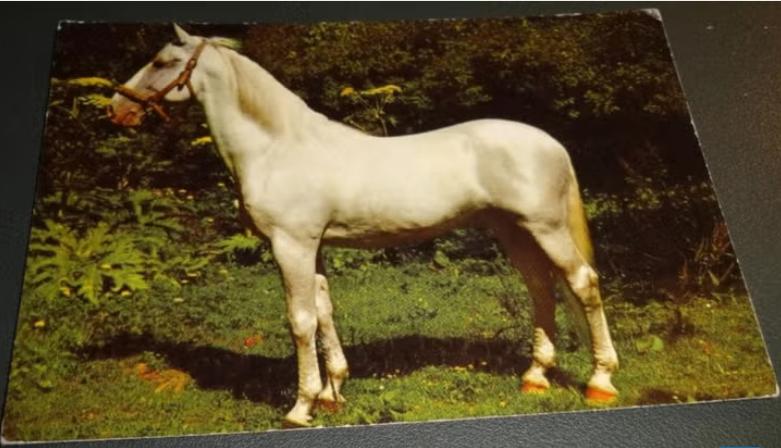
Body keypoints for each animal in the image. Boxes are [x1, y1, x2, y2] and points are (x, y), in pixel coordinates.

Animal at [108, 24, 619, 427]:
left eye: (162, 61)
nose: (117, 108)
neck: (277, 147)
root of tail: (551, 143)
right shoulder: (313, 247)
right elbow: (323, 311)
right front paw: (332, 394)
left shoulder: (291, 245)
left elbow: (299, 321)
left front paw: (301, 407)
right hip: (514, 231)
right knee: (542, 289)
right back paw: (534, 378)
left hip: (546, 228)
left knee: (583, 283)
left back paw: (600, 382)